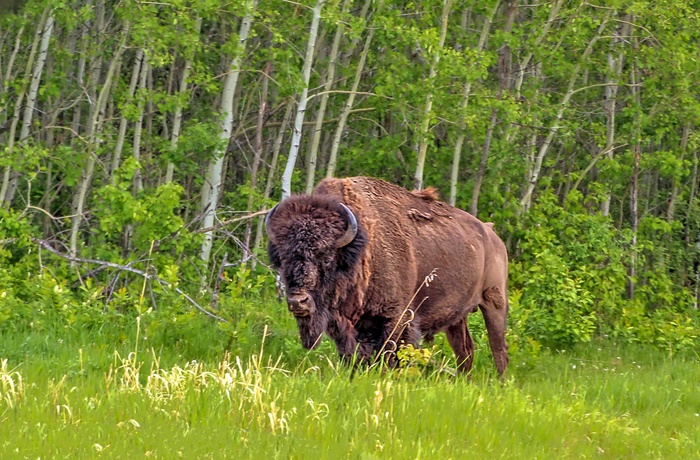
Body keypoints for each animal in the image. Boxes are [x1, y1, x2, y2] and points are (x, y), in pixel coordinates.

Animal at [266, 176, 508, 374]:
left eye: (326, 257)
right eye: (284, 260)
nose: (298, 302)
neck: (361, 246)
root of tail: (493, 235)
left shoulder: (395, 318)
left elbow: (389, 355)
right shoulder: (347, 327)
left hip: (494, 302)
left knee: (499, 349)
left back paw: (500, 383)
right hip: (457, 317)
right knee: (465, 350)